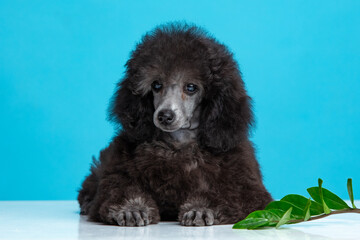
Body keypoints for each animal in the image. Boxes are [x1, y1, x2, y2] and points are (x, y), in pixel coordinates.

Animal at [77, 23, 272, 227]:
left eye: (191, 87)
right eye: (156, 85)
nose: (165, 116)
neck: (178, 144)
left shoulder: (246, 187)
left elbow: (225, 194)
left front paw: (201, 208)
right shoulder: (118, 173)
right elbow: (118, 189)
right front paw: (132, 208)